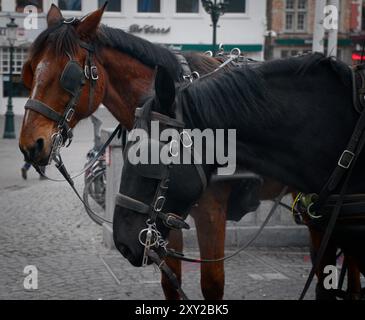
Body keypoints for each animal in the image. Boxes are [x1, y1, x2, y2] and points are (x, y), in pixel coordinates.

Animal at [18, 4, 360, 300]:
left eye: (70, 75)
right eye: (29, 70)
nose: (30, 143)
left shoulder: (210, 213)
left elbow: (212, 284)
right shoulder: (163, 217)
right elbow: (171, 282)